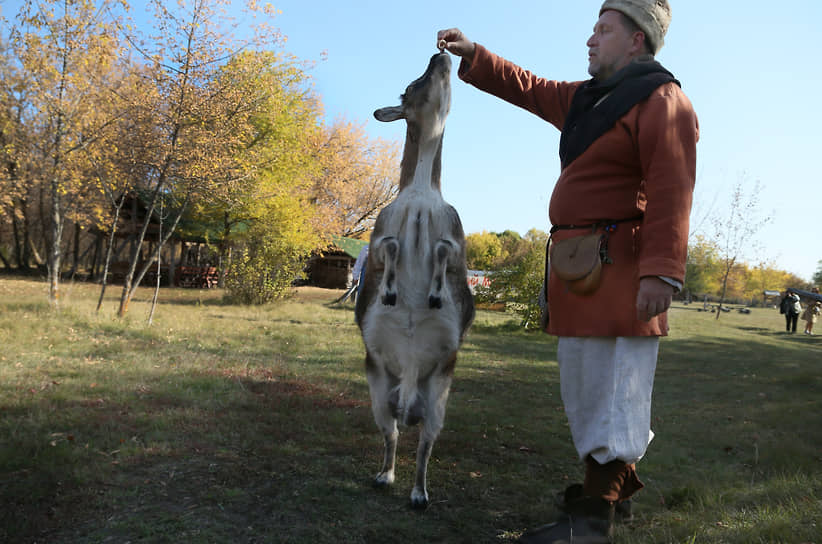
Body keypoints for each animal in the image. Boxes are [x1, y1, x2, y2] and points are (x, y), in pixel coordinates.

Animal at [356, 52, 476, 510]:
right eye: (411, 86)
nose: (440, 55)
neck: (423, 193)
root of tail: (408, 395)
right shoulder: (379, 234)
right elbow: (391, 245)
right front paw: (391, 291)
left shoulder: (457, 243)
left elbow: (441, 250)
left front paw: (436, 295)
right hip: (377, 389)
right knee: (391, 436)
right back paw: (384, 476)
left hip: (439, 396)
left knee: (425, 445)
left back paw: (420, 494)